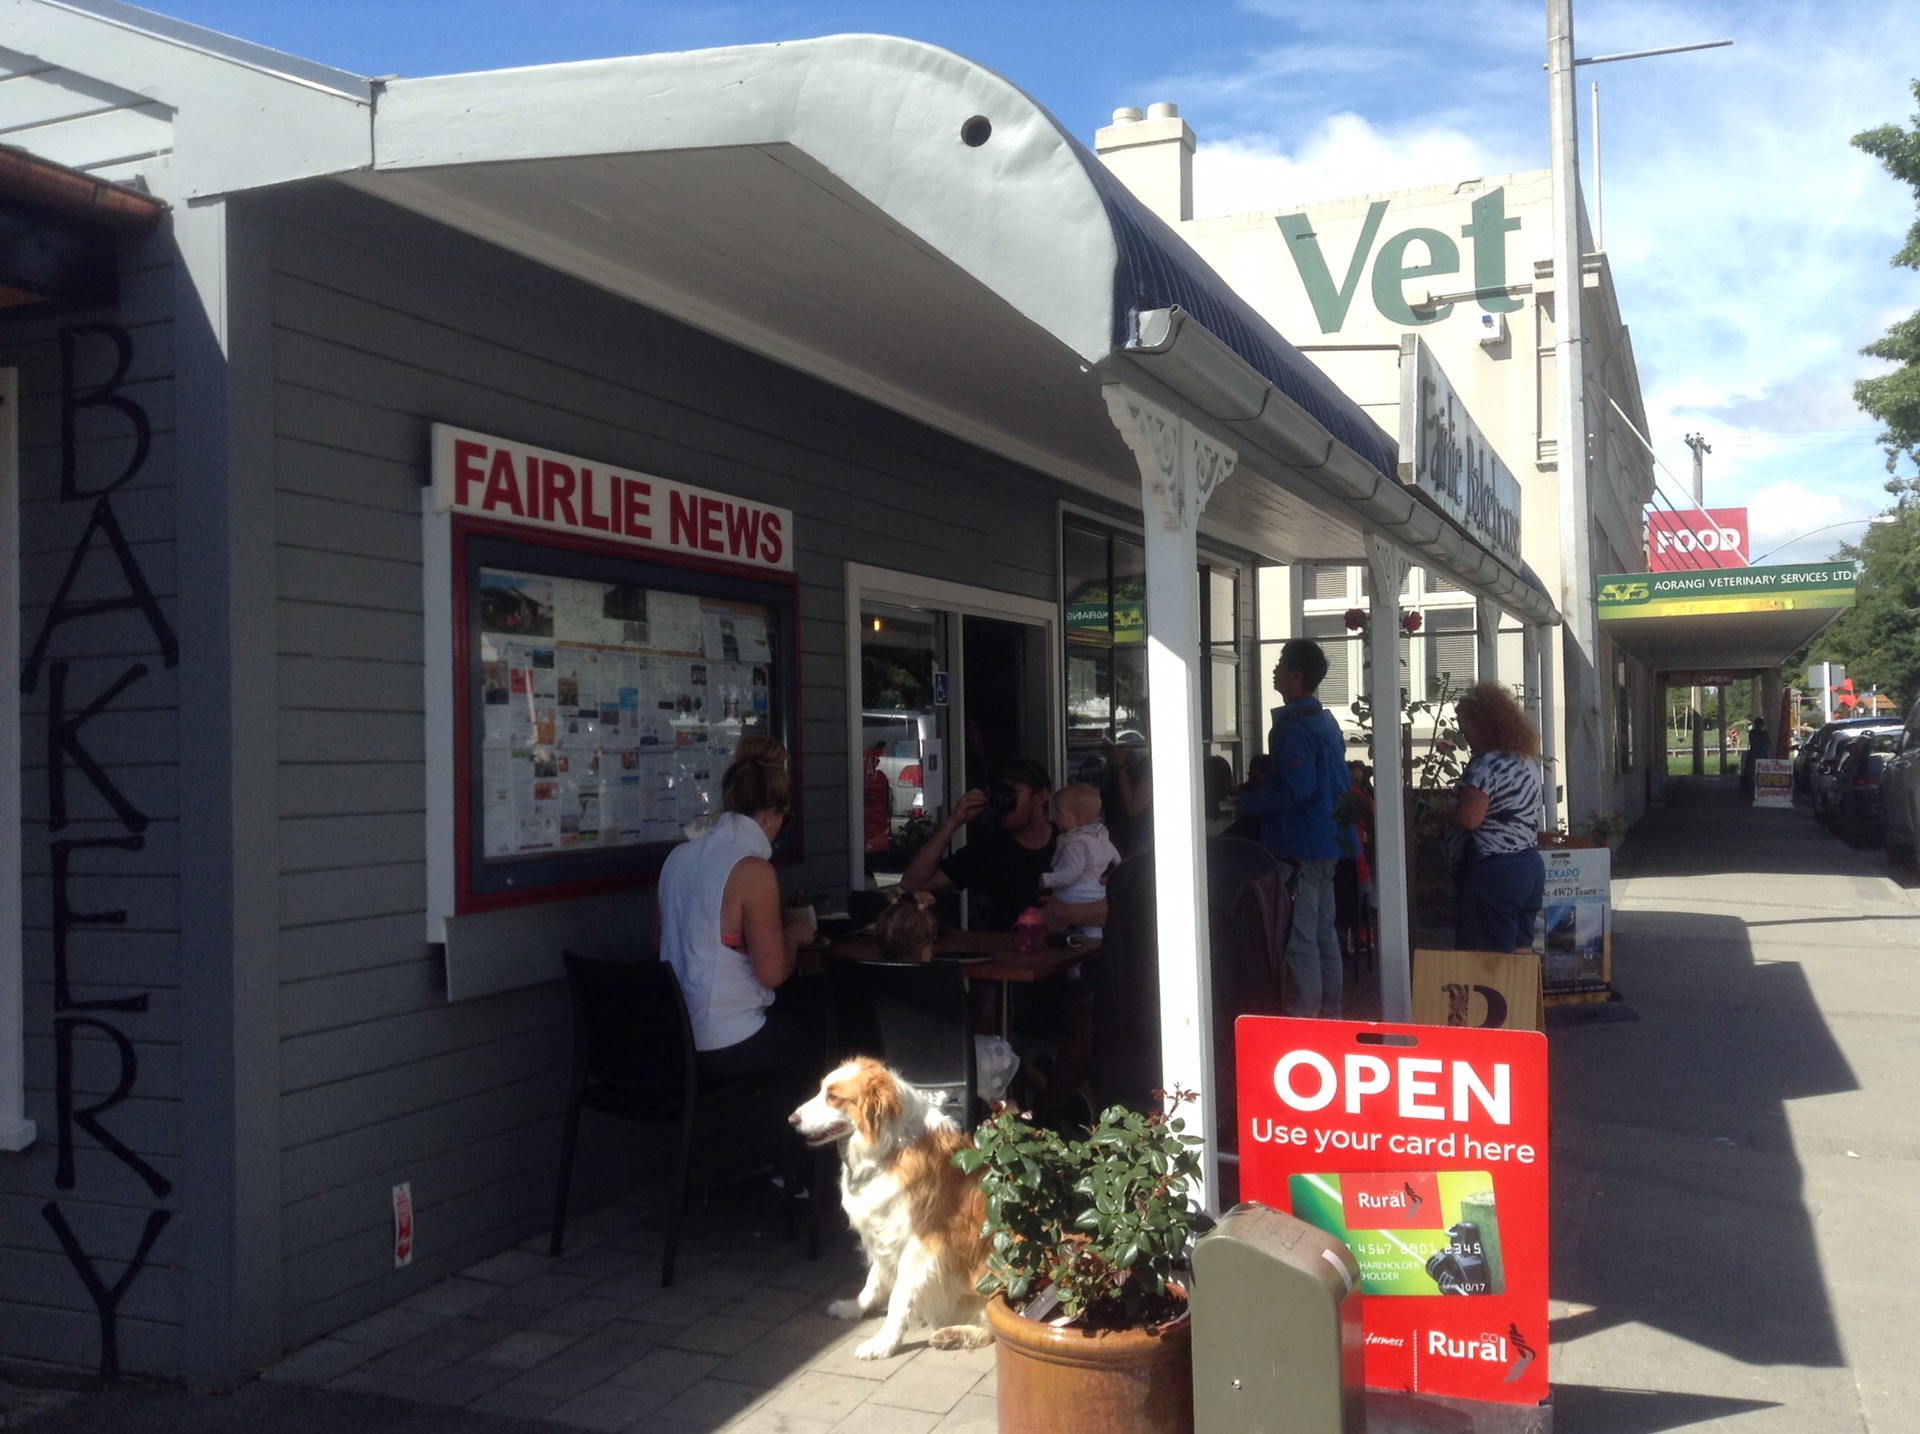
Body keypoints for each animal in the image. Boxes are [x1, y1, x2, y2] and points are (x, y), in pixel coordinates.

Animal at [787, 1059, 990, 1366]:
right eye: (821, 1090)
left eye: (833, 1097)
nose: (791, 1119)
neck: (889, 1150)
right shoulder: (884, 1233)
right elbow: (874, 1280)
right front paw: (854, 1308)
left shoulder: (921, 1245)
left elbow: (899, 1297)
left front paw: (883, 1344)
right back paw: (952, 1335)